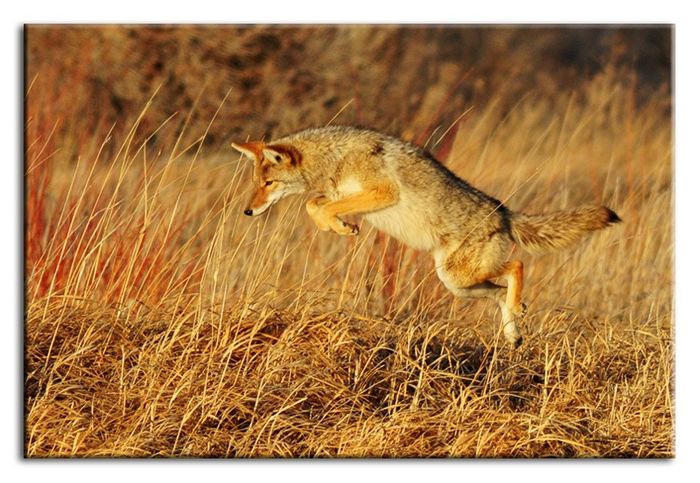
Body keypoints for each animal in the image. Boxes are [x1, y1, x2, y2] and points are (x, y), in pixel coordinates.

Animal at [232, 125, 620, 347]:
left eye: (269, 183)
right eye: (256, 183)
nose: (247, 212)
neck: (336, 157)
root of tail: (504, 212)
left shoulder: (382, 191)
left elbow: (317, 205)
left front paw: (341, 226)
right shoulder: (337, 195)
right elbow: (314, 205)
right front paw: (341, 227)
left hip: (461, 275)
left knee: (517, 266)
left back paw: (516, 313)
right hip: (456, 282)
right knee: (501, 292)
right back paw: (513, 331)